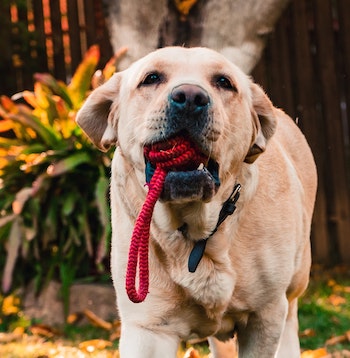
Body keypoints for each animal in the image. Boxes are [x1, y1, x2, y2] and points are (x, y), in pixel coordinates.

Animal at [76, 47, 318, 358]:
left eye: (224, 82)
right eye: (151, 78)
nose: (190, 97)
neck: (198, 231)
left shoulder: (264, 318)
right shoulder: (148, 327)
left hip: (292, 289)